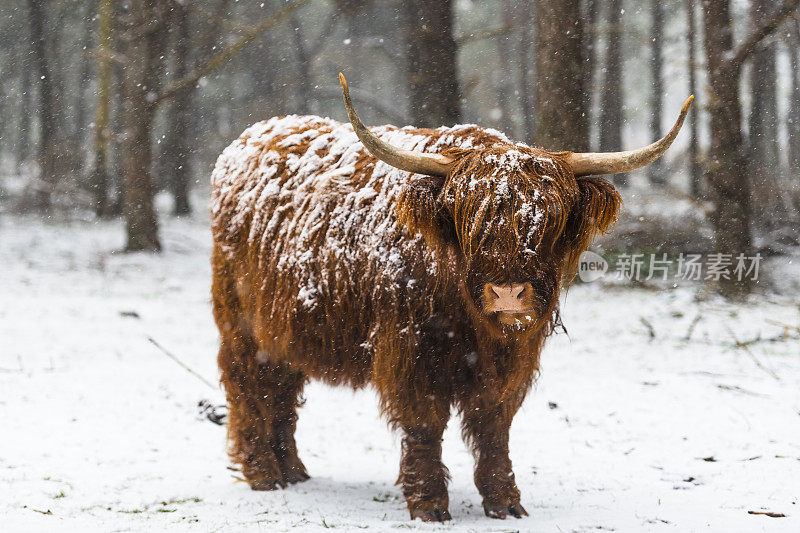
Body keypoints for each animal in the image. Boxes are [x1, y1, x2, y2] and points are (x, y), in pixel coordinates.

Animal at [212, 75, 692, 520]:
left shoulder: (510, 361)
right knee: (246, 384)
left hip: (284, 327)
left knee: (281, 388)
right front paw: (429, 504)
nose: (507, 292)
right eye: (471, 221)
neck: (472, 324)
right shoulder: (412, 353)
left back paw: (293, 470)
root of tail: (252, 136)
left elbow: (494, 426)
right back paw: (264, 473)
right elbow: (424, 425)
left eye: (548, 220)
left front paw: (504, 501)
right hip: (240, 321)